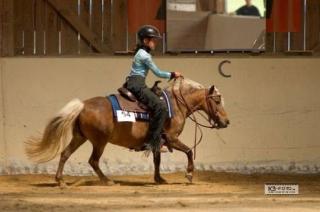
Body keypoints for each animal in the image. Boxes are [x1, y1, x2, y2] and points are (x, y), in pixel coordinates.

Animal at [25, 77, 230, 186]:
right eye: (217, 100)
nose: (226, 121)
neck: (176, 105)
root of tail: (83, 105)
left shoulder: (157, 141)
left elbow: (157, 160)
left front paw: (159, 179)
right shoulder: (171, 139)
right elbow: (188, 151)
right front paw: (189, 174)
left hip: (79, 137)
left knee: (65, 154)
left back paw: (60, 181)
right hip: (99, 141)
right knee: (93, 161)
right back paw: (107, 181)